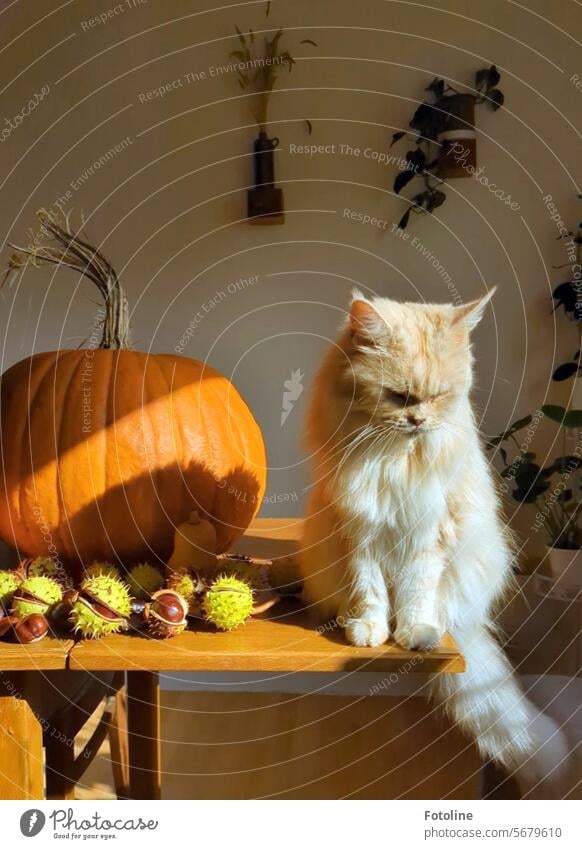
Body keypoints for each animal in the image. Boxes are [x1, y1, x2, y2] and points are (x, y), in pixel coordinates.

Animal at [302, 288, 572, 780]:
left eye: (440, 396)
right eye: (398, 396)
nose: (418, 421)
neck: (393, 458)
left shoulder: (426, 538)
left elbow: (415, 595)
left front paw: (413, 634)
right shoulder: (361, 532)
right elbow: (370, 593)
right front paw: (368, 630)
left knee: (443, 609)